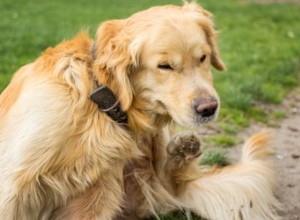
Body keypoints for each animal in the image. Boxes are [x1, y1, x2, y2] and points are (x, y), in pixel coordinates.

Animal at [1, 1, 280, 220]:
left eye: (203, 58)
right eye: (164, 66)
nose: (209, 108)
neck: (99, 97)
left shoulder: (96, 195)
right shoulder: (12, 182)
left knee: (172, 181)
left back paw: (183, 148)